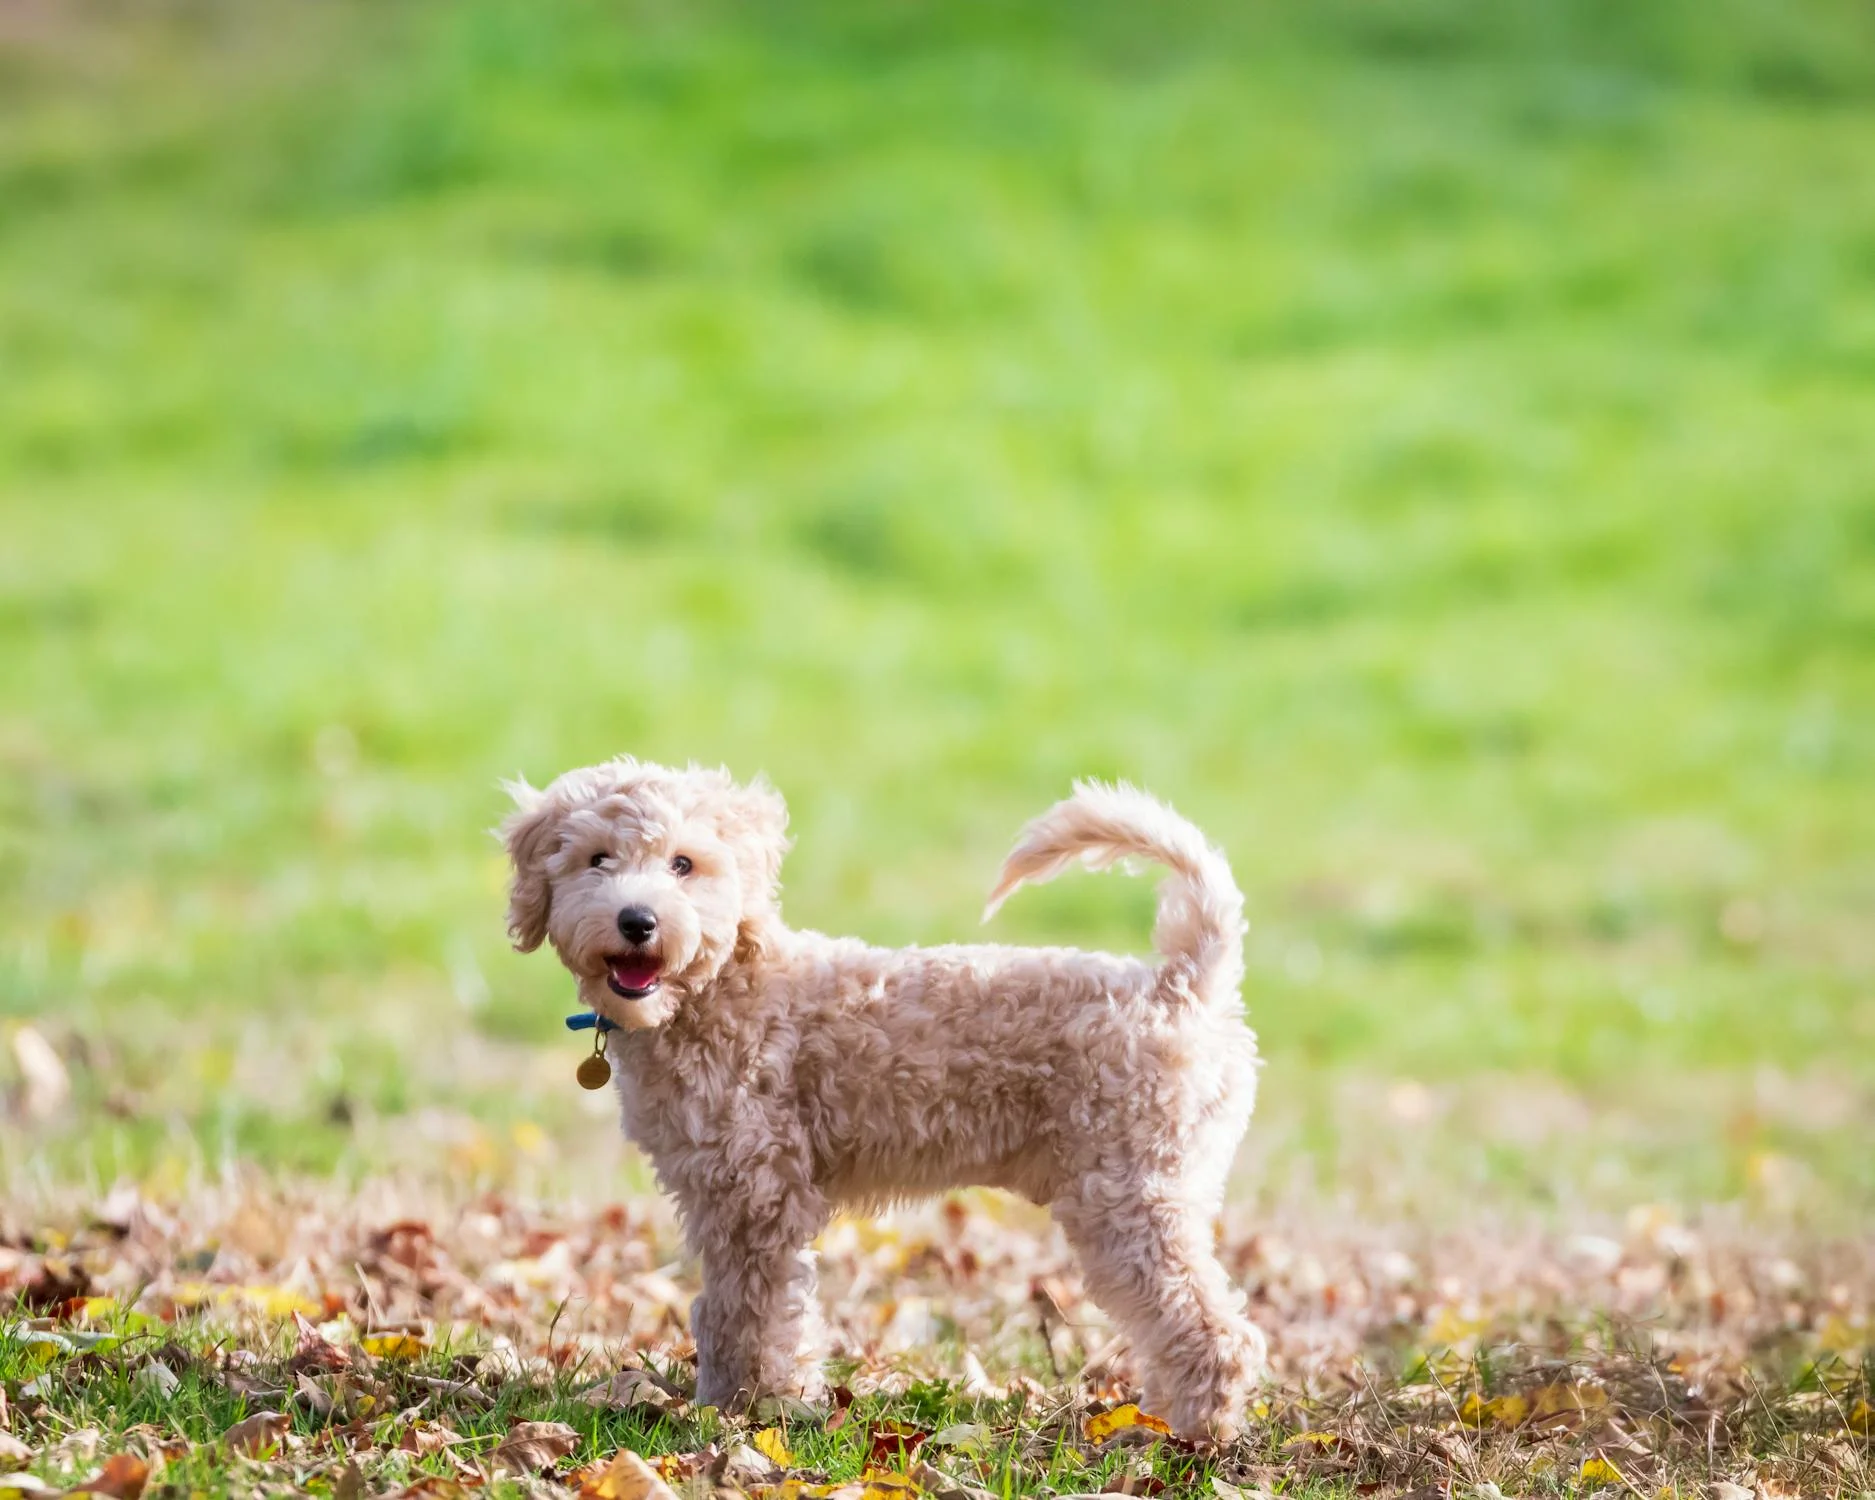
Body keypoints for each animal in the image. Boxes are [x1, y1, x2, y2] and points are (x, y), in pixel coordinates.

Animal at [498, 761, 1267, 1440]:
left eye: (683, 864)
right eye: (597, 859)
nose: (637, 921)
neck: (719, 988)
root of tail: (1182, 982)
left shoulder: (758, 1194)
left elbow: (755, 1311)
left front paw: (757, 1410)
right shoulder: (716, 1192)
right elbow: (721, 1310)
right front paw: (722, 1403)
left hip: (1129, 1195)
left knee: (1213, 1328)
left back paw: (1187, 1436)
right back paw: (1158, 1419)